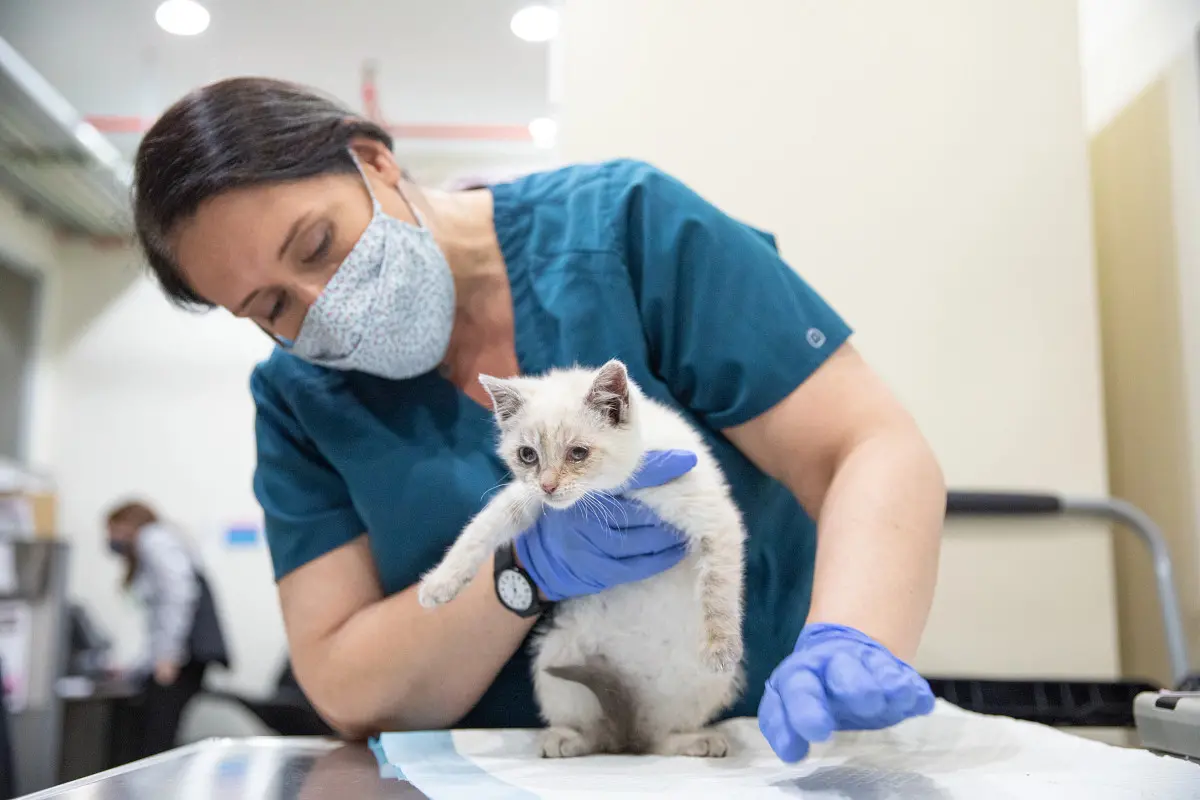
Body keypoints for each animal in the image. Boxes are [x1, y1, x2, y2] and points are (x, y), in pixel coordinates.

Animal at [417, 359, 744, 762]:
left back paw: (696, 741)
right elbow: (480, 528)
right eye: (527, 455)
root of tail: (630, 725)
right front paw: (438, 585)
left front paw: (721, 645)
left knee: (656, 738)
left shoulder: (712, 514)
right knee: (605, 735)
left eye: (578, 454)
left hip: (701, 686)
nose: (548, 486)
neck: (613, 490)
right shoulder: (526, 498)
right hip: (553, 659)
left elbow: (718, 585)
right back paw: (566, 740)